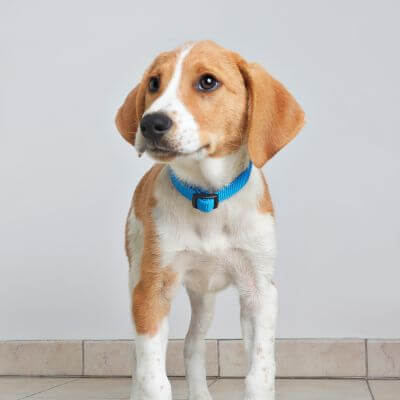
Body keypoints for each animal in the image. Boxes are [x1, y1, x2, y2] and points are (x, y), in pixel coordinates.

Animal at [115, 39, 304, 400]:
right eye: (154, 83)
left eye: (207, 82)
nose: (150, 123)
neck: (207, 198)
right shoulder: (151, 292)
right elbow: (153, 377)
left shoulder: (260, 292)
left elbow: (260, 373)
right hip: (136, 278)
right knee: (139, 357)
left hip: (205, 298)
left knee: (192, 345)